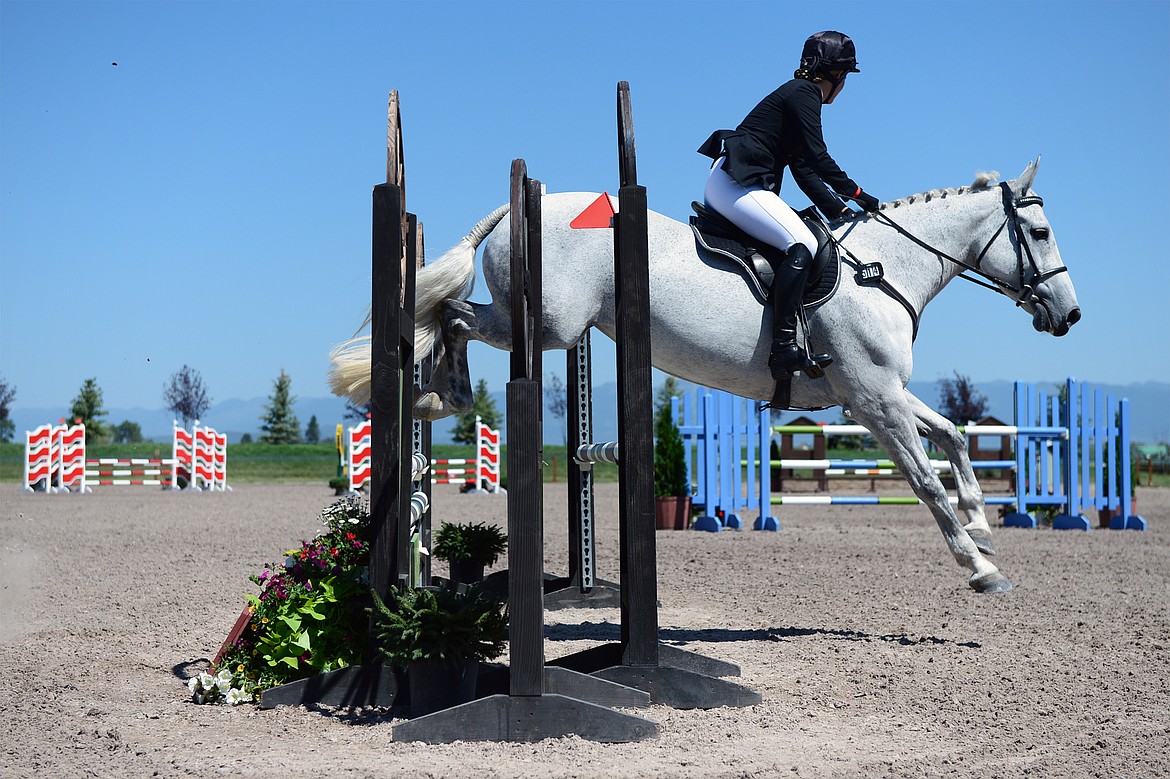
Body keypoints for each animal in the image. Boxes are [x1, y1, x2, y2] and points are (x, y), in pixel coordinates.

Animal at [329, 160, 1076, 591]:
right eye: (1039, 234)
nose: (1068, 314)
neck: (885, 270)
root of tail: (518, 207)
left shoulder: (875, 395)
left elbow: (952, 435)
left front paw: (982, 522)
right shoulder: (874, 399)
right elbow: (924, 479)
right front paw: (979, 565)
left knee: (452, 315)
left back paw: (436, 393)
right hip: (549, 328)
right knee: (454, 315)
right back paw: (441, 392)